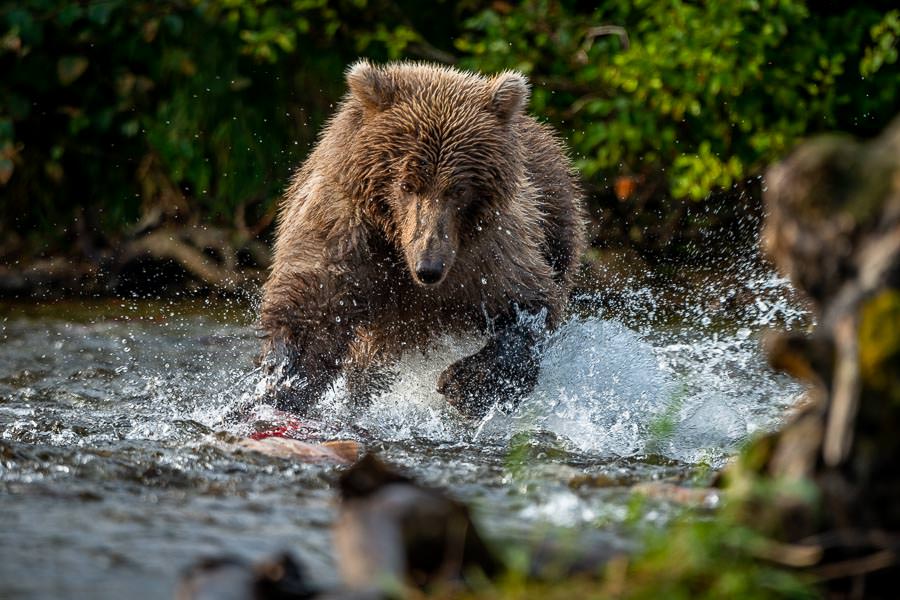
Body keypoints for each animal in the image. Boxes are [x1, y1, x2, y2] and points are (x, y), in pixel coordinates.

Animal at [256, 61, 588, 418]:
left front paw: (464, 383)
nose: (428, 267)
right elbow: (316, 305)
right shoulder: (345, 227)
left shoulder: (489, 249)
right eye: (406, 184)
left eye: (458, 189)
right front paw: (284, 380)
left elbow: (526, 303)